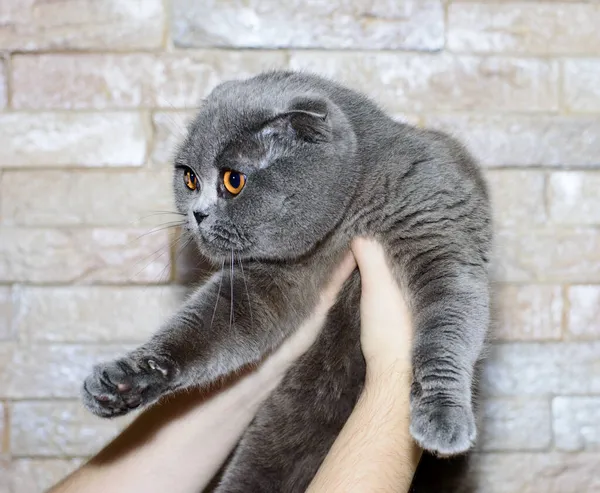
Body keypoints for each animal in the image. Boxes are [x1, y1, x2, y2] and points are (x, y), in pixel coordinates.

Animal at [81, 70, 492, 492]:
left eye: (233, 180)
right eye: (190, 178)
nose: (197, 214)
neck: (345, 218)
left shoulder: (435, 231)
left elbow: (447, 324)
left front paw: (443, 416)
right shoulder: (270, 280)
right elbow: (208, 326)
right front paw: (125, 379)